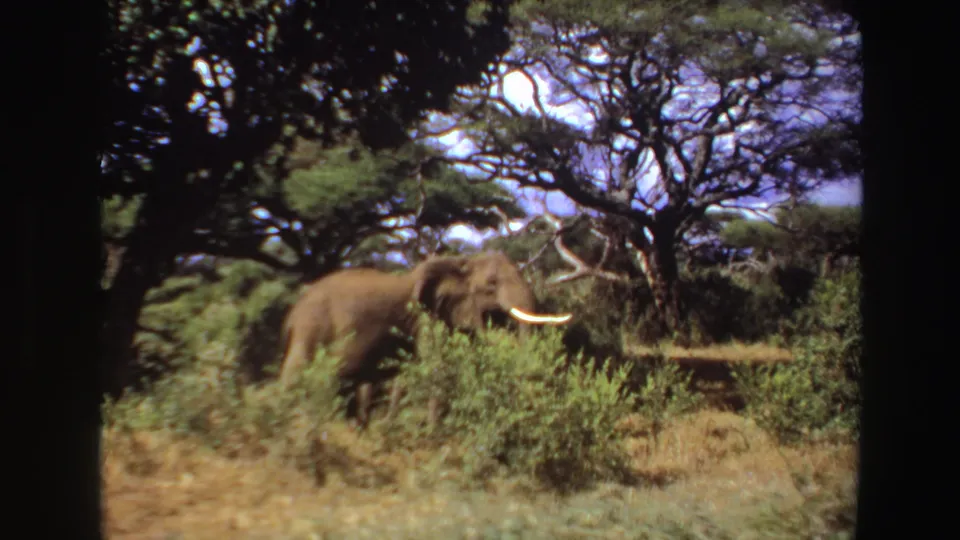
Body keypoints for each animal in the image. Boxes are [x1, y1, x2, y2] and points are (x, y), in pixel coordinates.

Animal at [277, 250, 574, 429]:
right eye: (491, 283)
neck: (462, 263)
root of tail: (292, 313)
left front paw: (390, 426)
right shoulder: (424, 317)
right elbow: (435, 364)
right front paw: (435, 434)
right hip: (313, 325)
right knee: (298, 373)